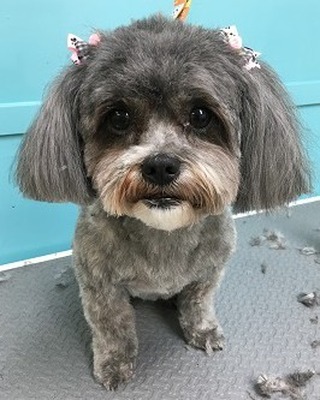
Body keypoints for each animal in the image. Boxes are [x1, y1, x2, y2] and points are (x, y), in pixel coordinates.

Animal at [15, 15, 310, 390]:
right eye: (119, 117)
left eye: (200, 115)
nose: (160, 165)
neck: (163, 232)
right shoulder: (99, 283)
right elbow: (111, 324)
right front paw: (114, 362)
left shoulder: (209, 272)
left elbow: (199, 304)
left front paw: (202, 331)